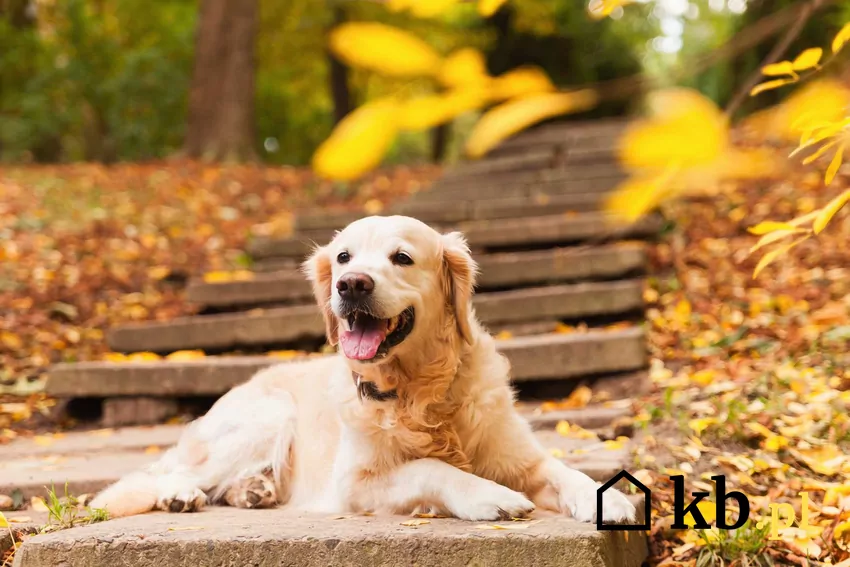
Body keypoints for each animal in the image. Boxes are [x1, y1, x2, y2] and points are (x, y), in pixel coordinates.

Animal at [93, 216, 636, 524]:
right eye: (343, 257)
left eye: (402, 257)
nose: (351, 284)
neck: (419, 390)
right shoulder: (354, 484)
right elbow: (428, 467)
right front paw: (488, 495)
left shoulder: (523, 459)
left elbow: (567, 471)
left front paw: (610, 500)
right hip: (267, 416)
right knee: (166, 473)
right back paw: (181, 494)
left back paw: (253, 490)